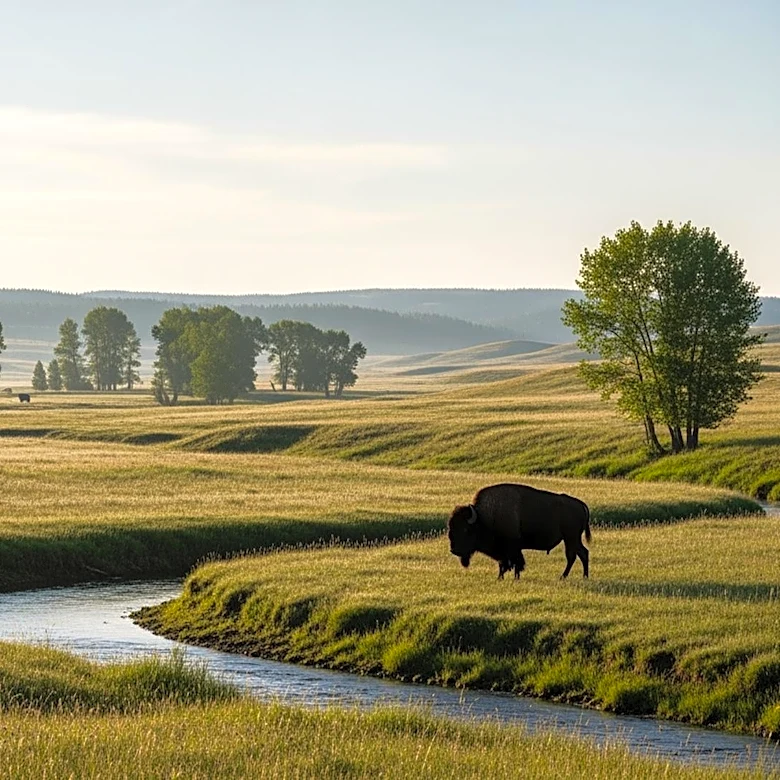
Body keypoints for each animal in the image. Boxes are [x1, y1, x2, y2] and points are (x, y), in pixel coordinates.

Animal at [448, 483, 591, 579]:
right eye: (451, 528)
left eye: (466, 529)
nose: (454, 550)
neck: (484, 517)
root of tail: (581, 505)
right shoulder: (506, 551)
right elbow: (504, 564)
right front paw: (501, 578)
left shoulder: (512, 548)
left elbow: (515, 563)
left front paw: (512, 578)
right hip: (571, 539)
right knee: (580, 554)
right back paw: (578, 576)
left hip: (571, 538)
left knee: (575, 555)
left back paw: (567, 577)